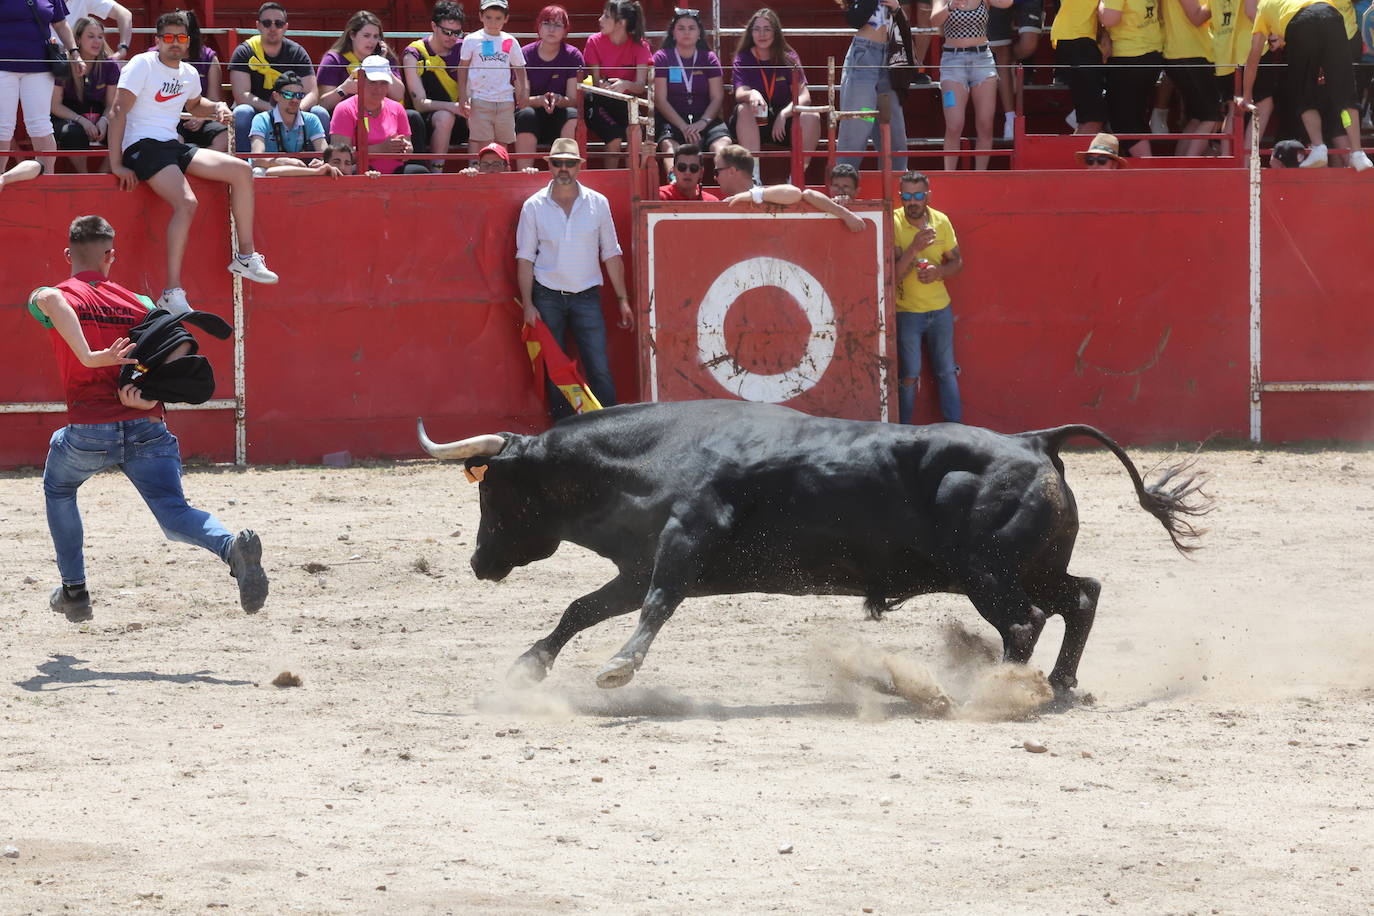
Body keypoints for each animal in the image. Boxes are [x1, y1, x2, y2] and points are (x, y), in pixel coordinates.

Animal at [412, 401, 1209, 694]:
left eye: (491, 490)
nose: (480, 563)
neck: (651, 456)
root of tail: (1034, 441)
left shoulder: (683, 541)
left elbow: (655, 606)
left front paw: (618, 669)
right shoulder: (637, 564)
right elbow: (582, 607)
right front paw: (529, 664)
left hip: (989, 574)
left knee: (1024, 621)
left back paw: (991, 691)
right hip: (1033, 567)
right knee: (1082, 596)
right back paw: (1063, 683)